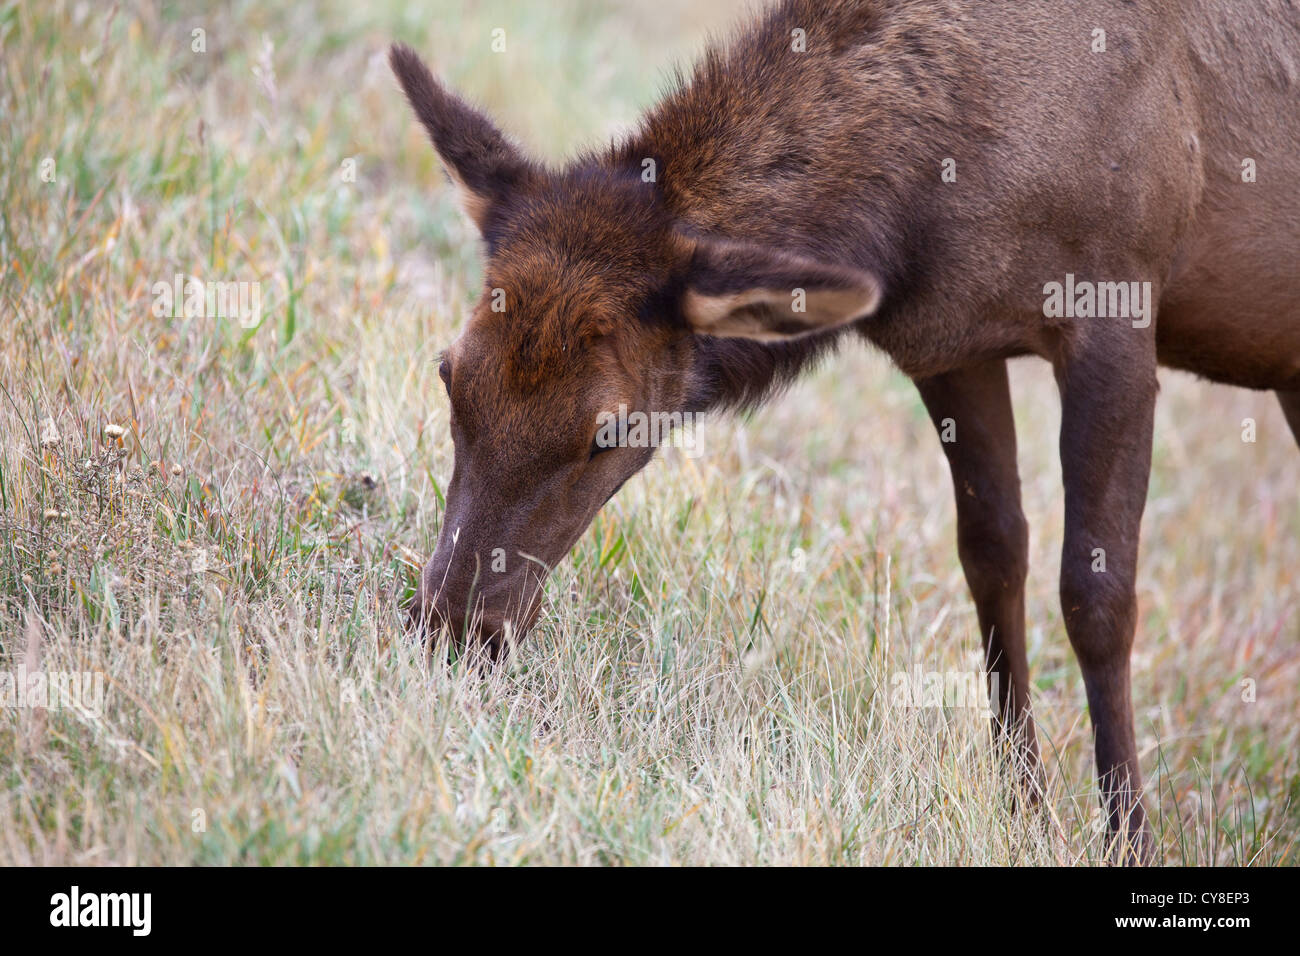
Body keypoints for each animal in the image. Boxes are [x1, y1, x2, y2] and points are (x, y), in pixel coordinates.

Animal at [390, 0, 1300, 863]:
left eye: (609, 432)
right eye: (449, 374)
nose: (453, 626)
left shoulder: (1119, 306)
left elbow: (1097, 597)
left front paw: (1128, 838)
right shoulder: (953, 341)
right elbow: (993, 559)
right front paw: (1025, 813)